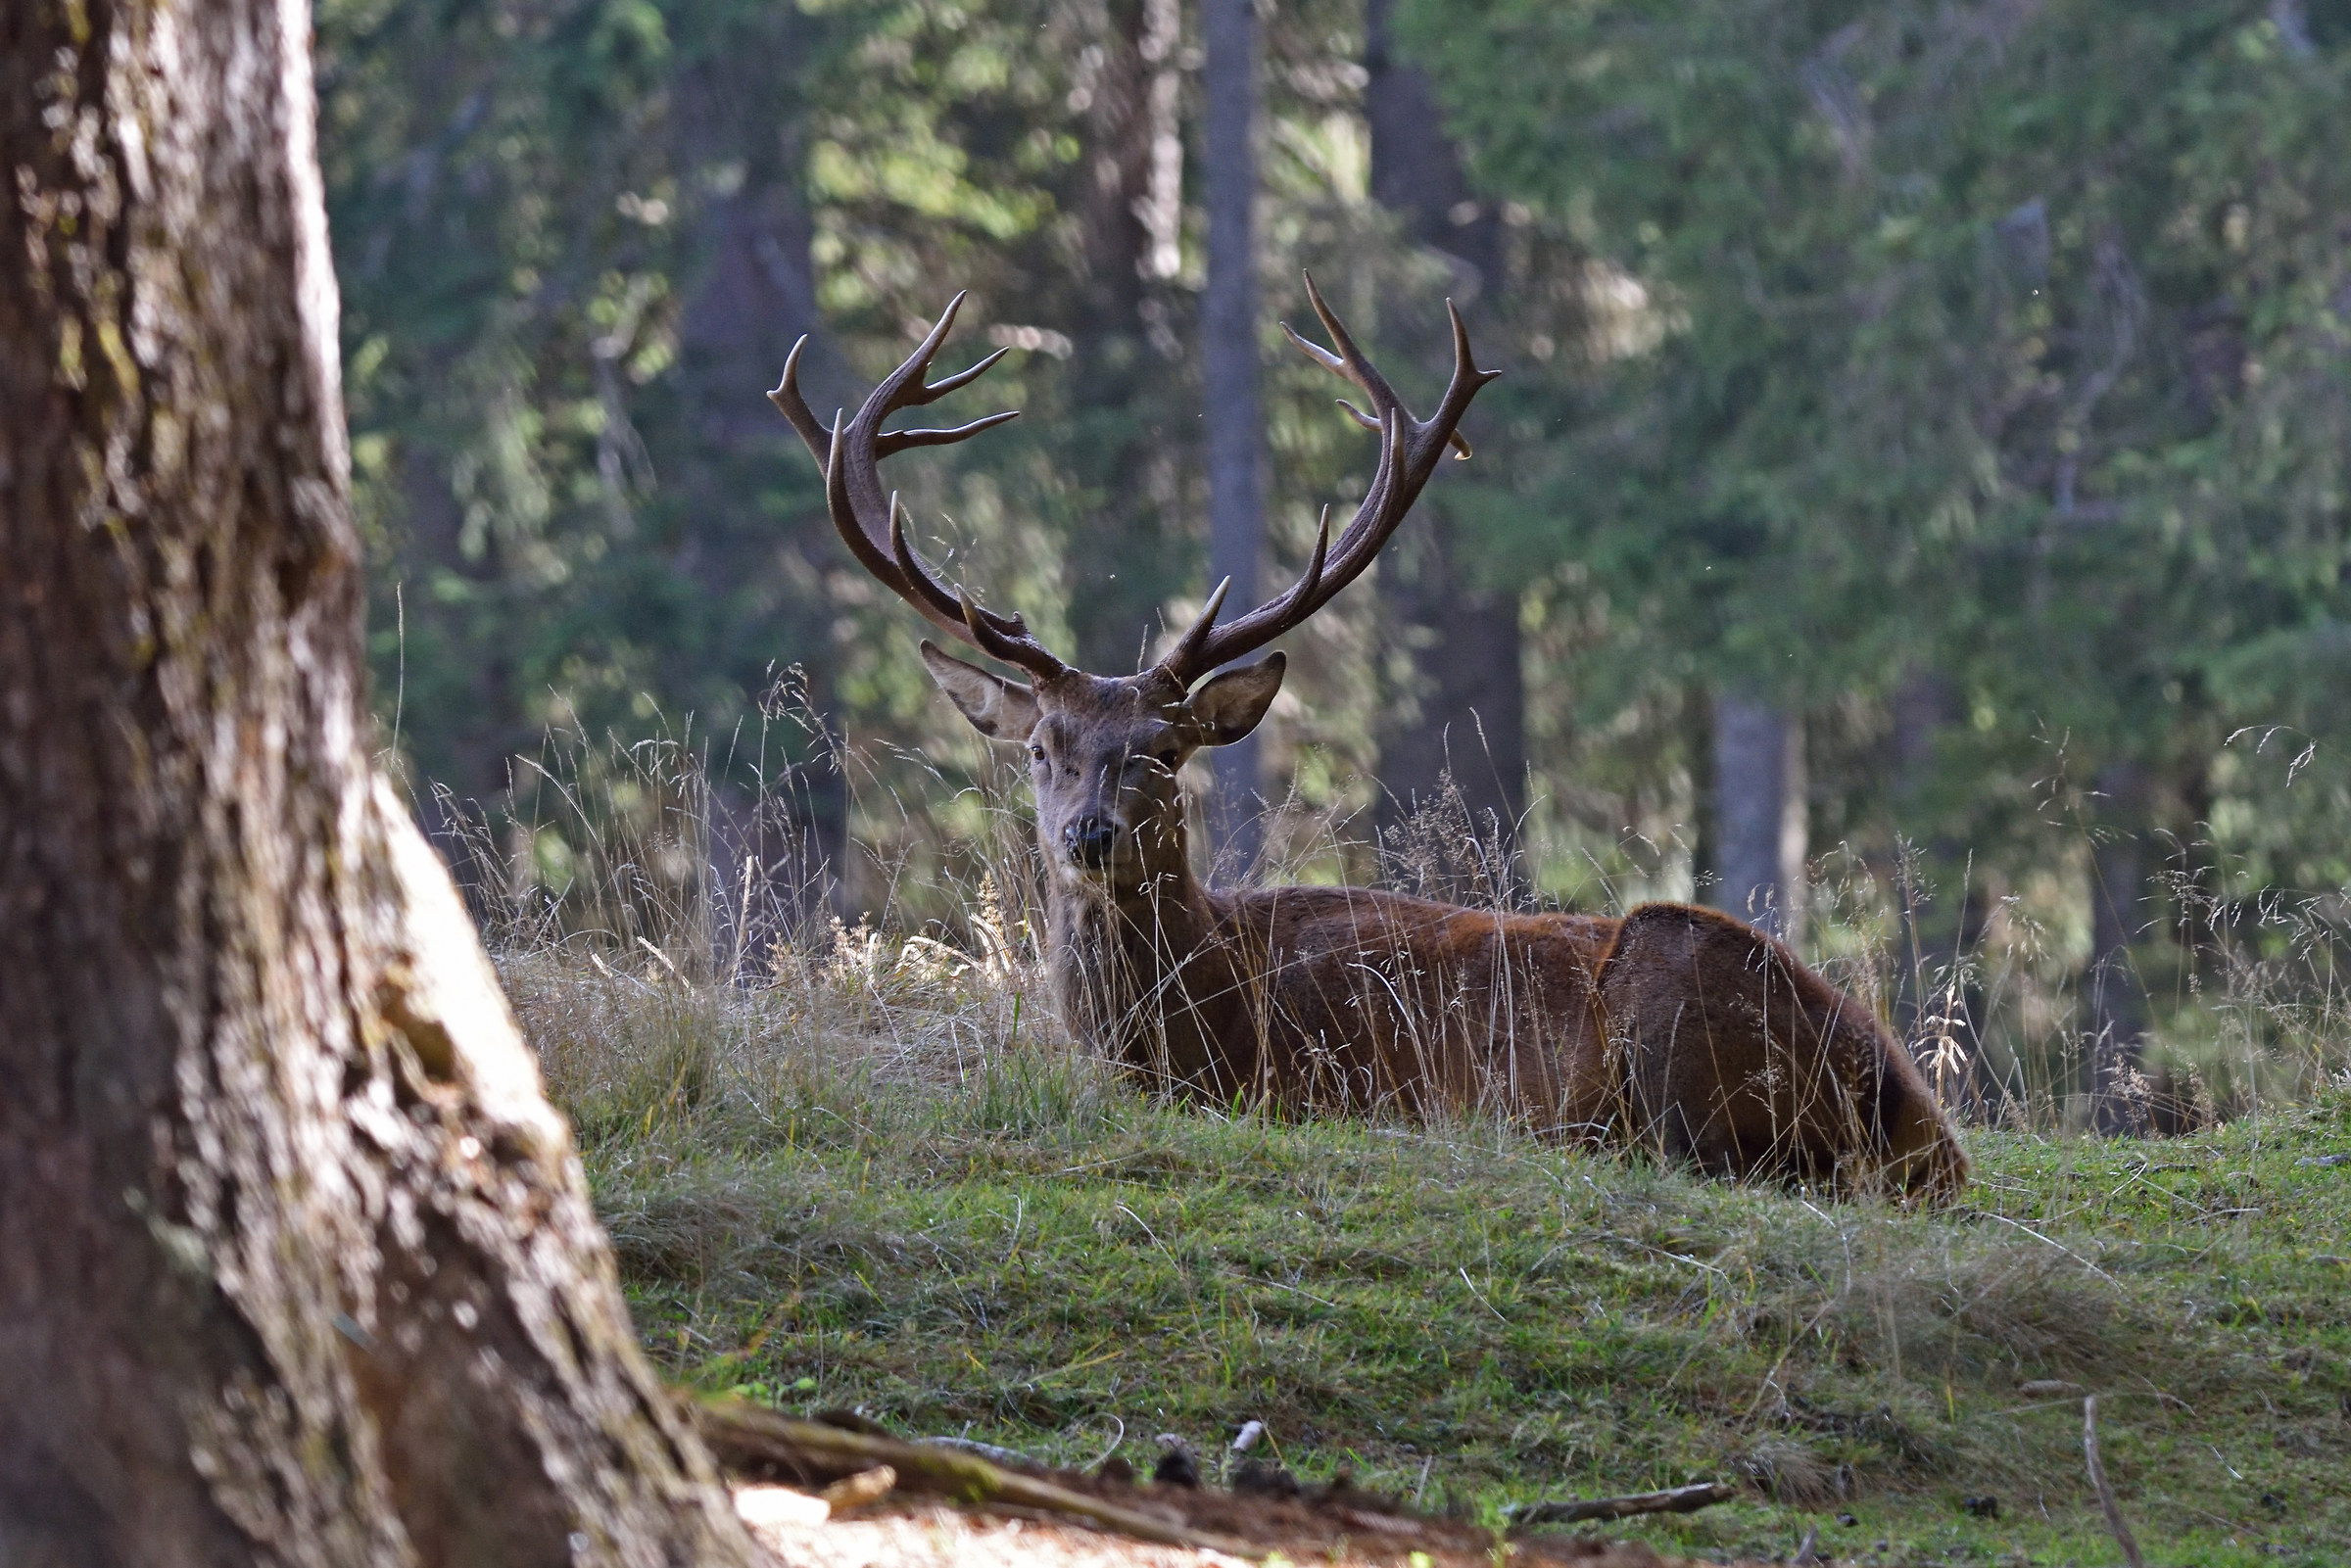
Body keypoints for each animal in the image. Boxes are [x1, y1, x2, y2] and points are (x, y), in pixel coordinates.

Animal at [768, 278, 1968, 1202]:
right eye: (1040, 745)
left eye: (1165, 747)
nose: (1089, 835)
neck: (1199, 1022)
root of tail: (1912, 1109)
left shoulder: (1318, 1086)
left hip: (1677, 1001)